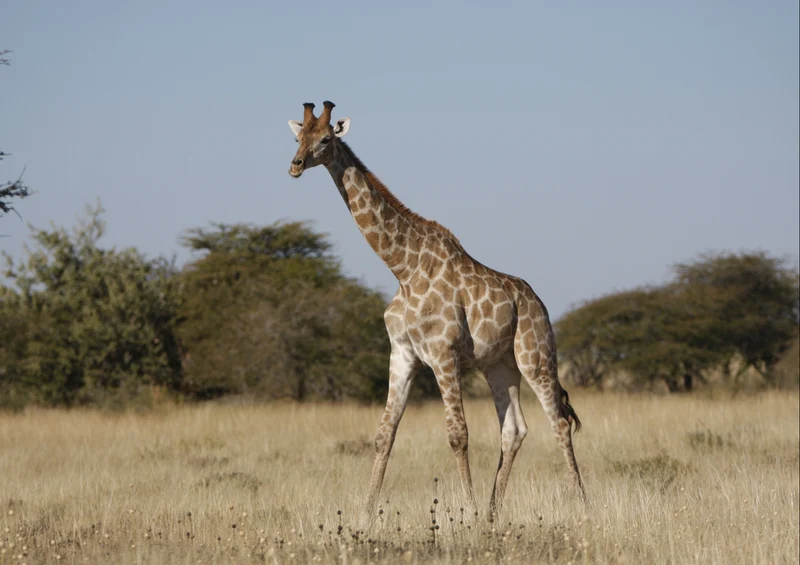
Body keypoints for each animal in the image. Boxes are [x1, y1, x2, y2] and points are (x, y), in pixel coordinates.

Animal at [287, 101, 586, 520]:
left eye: (326, 139)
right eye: (298, 136)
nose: (295, 165)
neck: (403, 268)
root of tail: (537, 302)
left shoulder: (444, 353)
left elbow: (458, 435)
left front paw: (469, 514)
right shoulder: (402, 353)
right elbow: (384, 435)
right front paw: (365, 516)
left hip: (536, 356)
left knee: (558, 421)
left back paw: (582, 508)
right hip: (499, 365)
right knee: (514, 430)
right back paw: (494, 513)